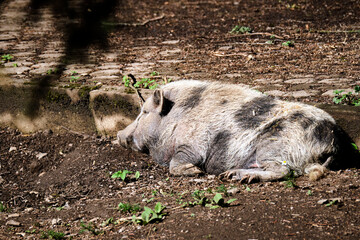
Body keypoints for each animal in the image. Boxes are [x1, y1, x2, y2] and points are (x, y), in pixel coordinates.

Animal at [117, 80, 358, 182]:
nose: (119, 135)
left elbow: (177, 163)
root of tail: (333, 143)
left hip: (274, 145)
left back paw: (237, 177)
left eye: (144, 112)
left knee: (284, 171)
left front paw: (195, 172)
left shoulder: (193, 145)